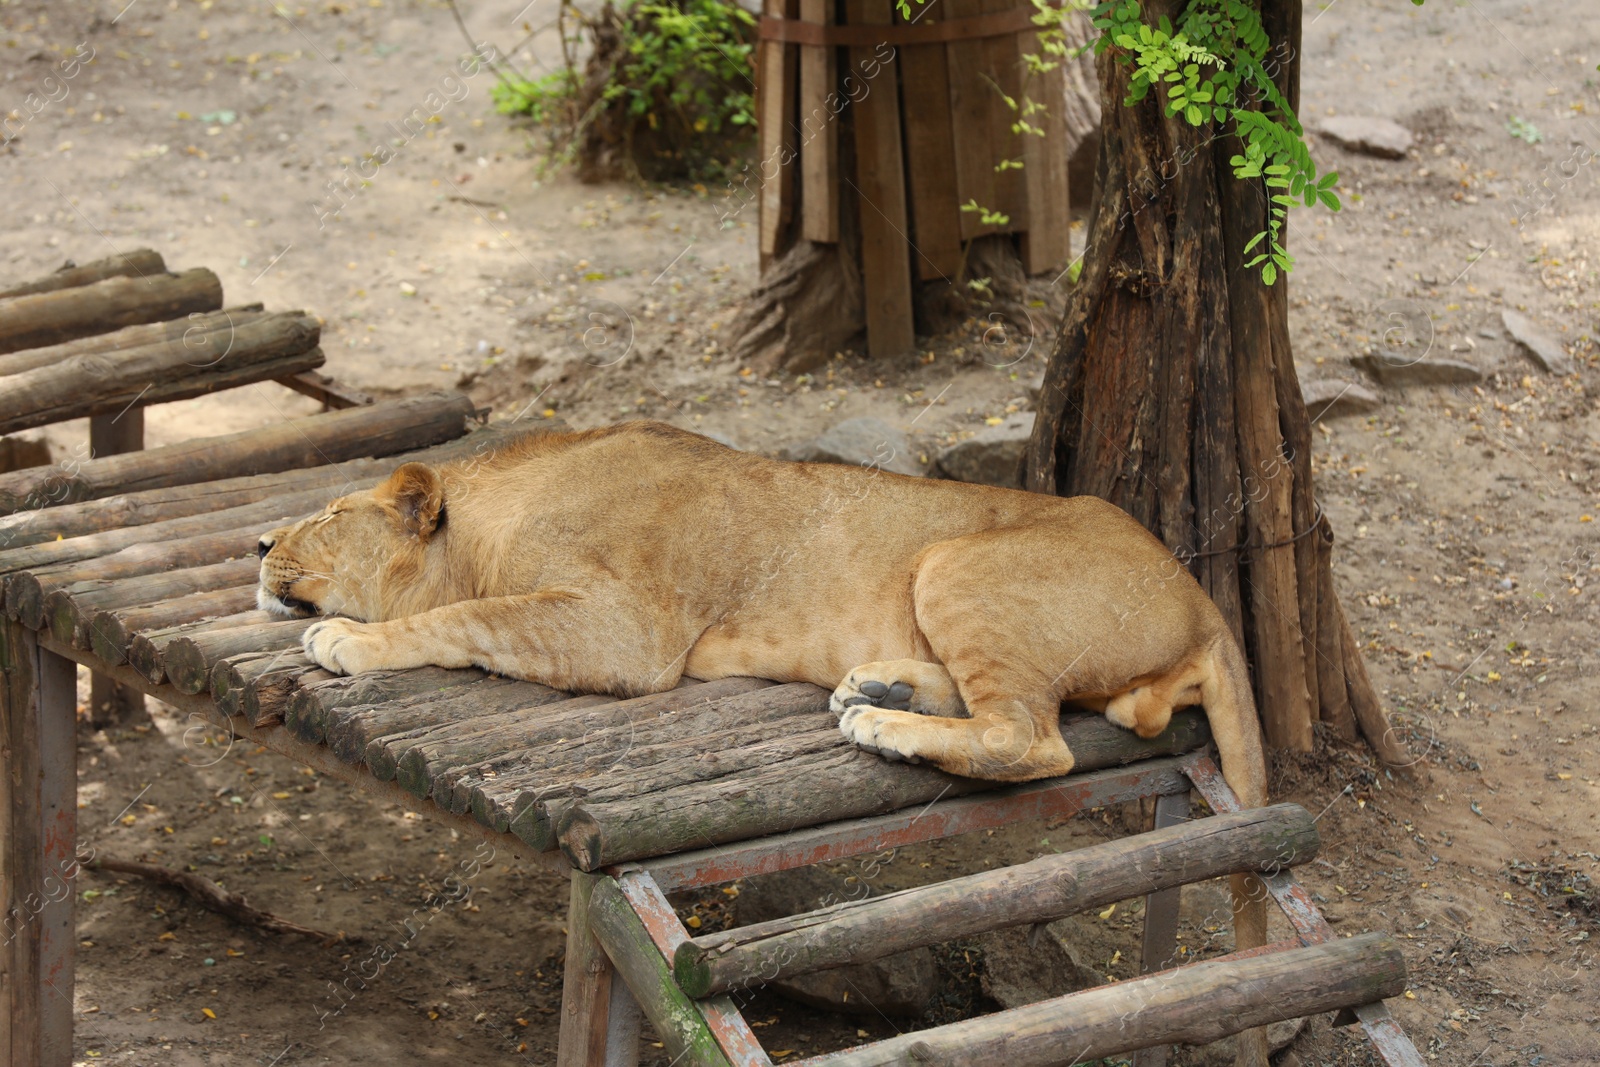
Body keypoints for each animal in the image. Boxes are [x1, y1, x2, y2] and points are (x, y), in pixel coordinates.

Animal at [259, 415, 1260, 799]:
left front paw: (347, 637)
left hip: (955, 561)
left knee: (1031, 737)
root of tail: (1203, 598)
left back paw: (885, 726)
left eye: (329, 514)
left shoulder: (629, 633)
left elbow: (464, 618)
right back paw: (882, 688)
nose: (258, 545)